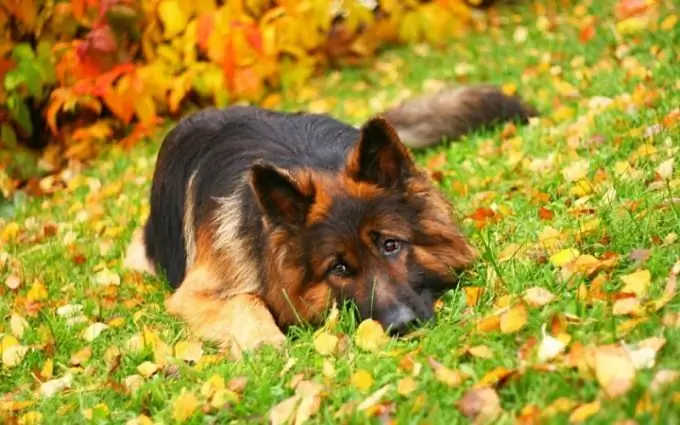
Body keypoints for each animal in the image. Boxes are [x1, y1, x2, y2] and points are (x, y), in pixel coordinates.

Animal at [123, 84, 536, 356]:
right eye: (338, 268)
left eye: (391, 245)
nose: (403, 325)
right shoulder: (194, 293)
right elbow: (244, 301)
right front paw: (264, 342)